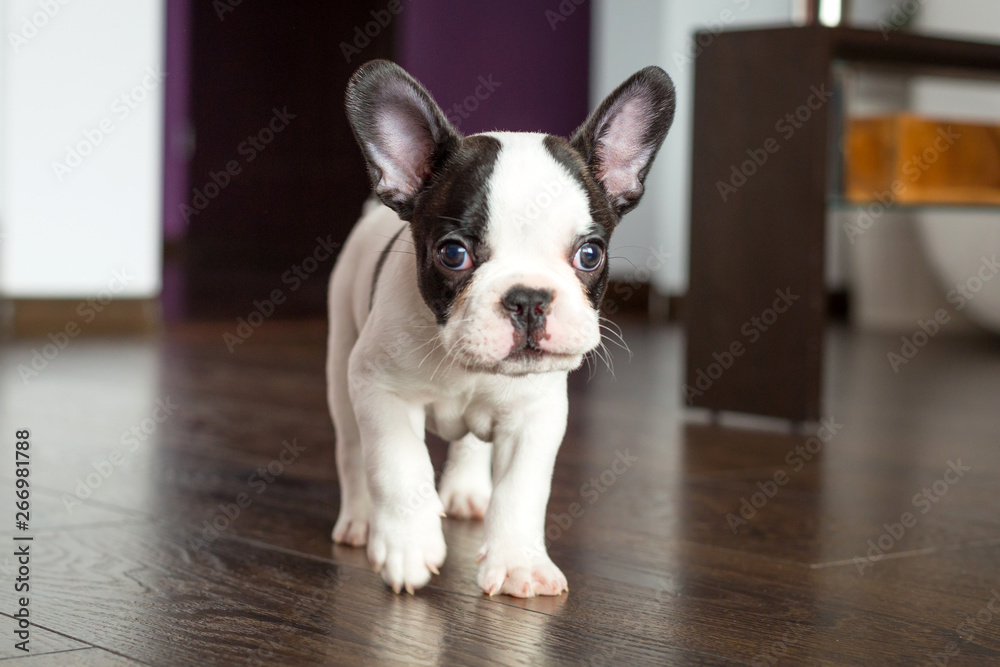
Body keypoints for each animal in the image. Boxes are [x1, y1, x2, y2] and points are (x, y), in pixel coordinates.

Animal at [328, 60, 672, 596]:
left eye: (589, 254)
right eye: (453, 254)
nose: (528, 298)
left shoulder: (536, 416)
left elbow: (522, 490)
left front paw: (517, 563)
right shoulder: (379, 388)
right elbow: (398, 467)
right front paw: (407, 547)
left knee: (469, 443)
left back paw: (467, 492)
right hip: (342, 360)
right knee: (350, 447)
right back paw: (361, 521)